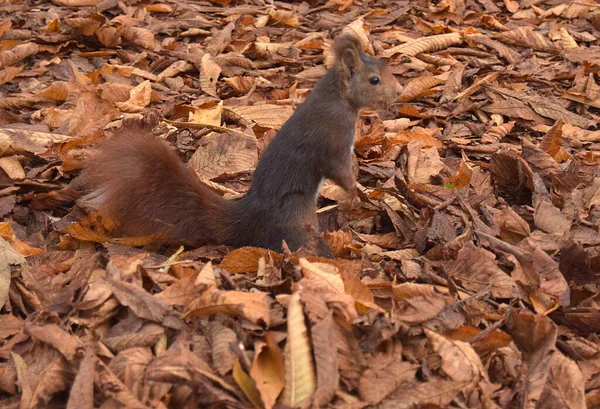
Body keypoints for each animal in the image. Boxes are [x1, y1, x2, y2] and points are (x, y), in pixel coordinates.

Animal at [77, 34, 400, 255]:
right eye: (374, 80)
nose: (398, 91)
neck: (337, 98)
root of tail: (246, 218)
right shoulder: (332, 139)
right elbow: (340, 171)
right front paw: (353, 195)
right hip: (295, 220)